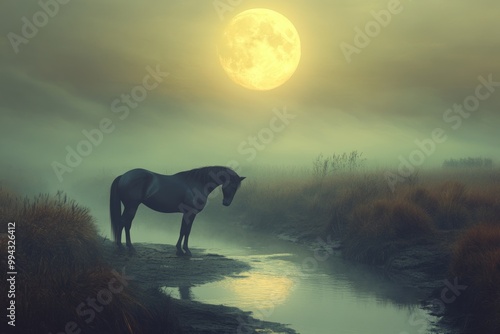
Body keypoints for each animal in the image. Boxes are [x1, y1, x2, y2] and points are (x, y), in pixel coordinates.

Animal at [109, 166, 244, 256]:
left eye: (236, 188)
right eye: (232, 186)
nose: (226, 203)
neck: (196, 184)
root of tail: (123, 176)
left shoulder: (187, 214)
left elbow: (183, 230)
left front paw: (179, 249)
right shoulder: (191, 213)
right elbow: (186, 231)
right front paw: (186, 250)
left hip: (131, 207)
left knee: (126, 224)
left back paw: (128, 246)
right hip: (132, 206)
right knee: (123, 223)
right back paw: (122, 247)